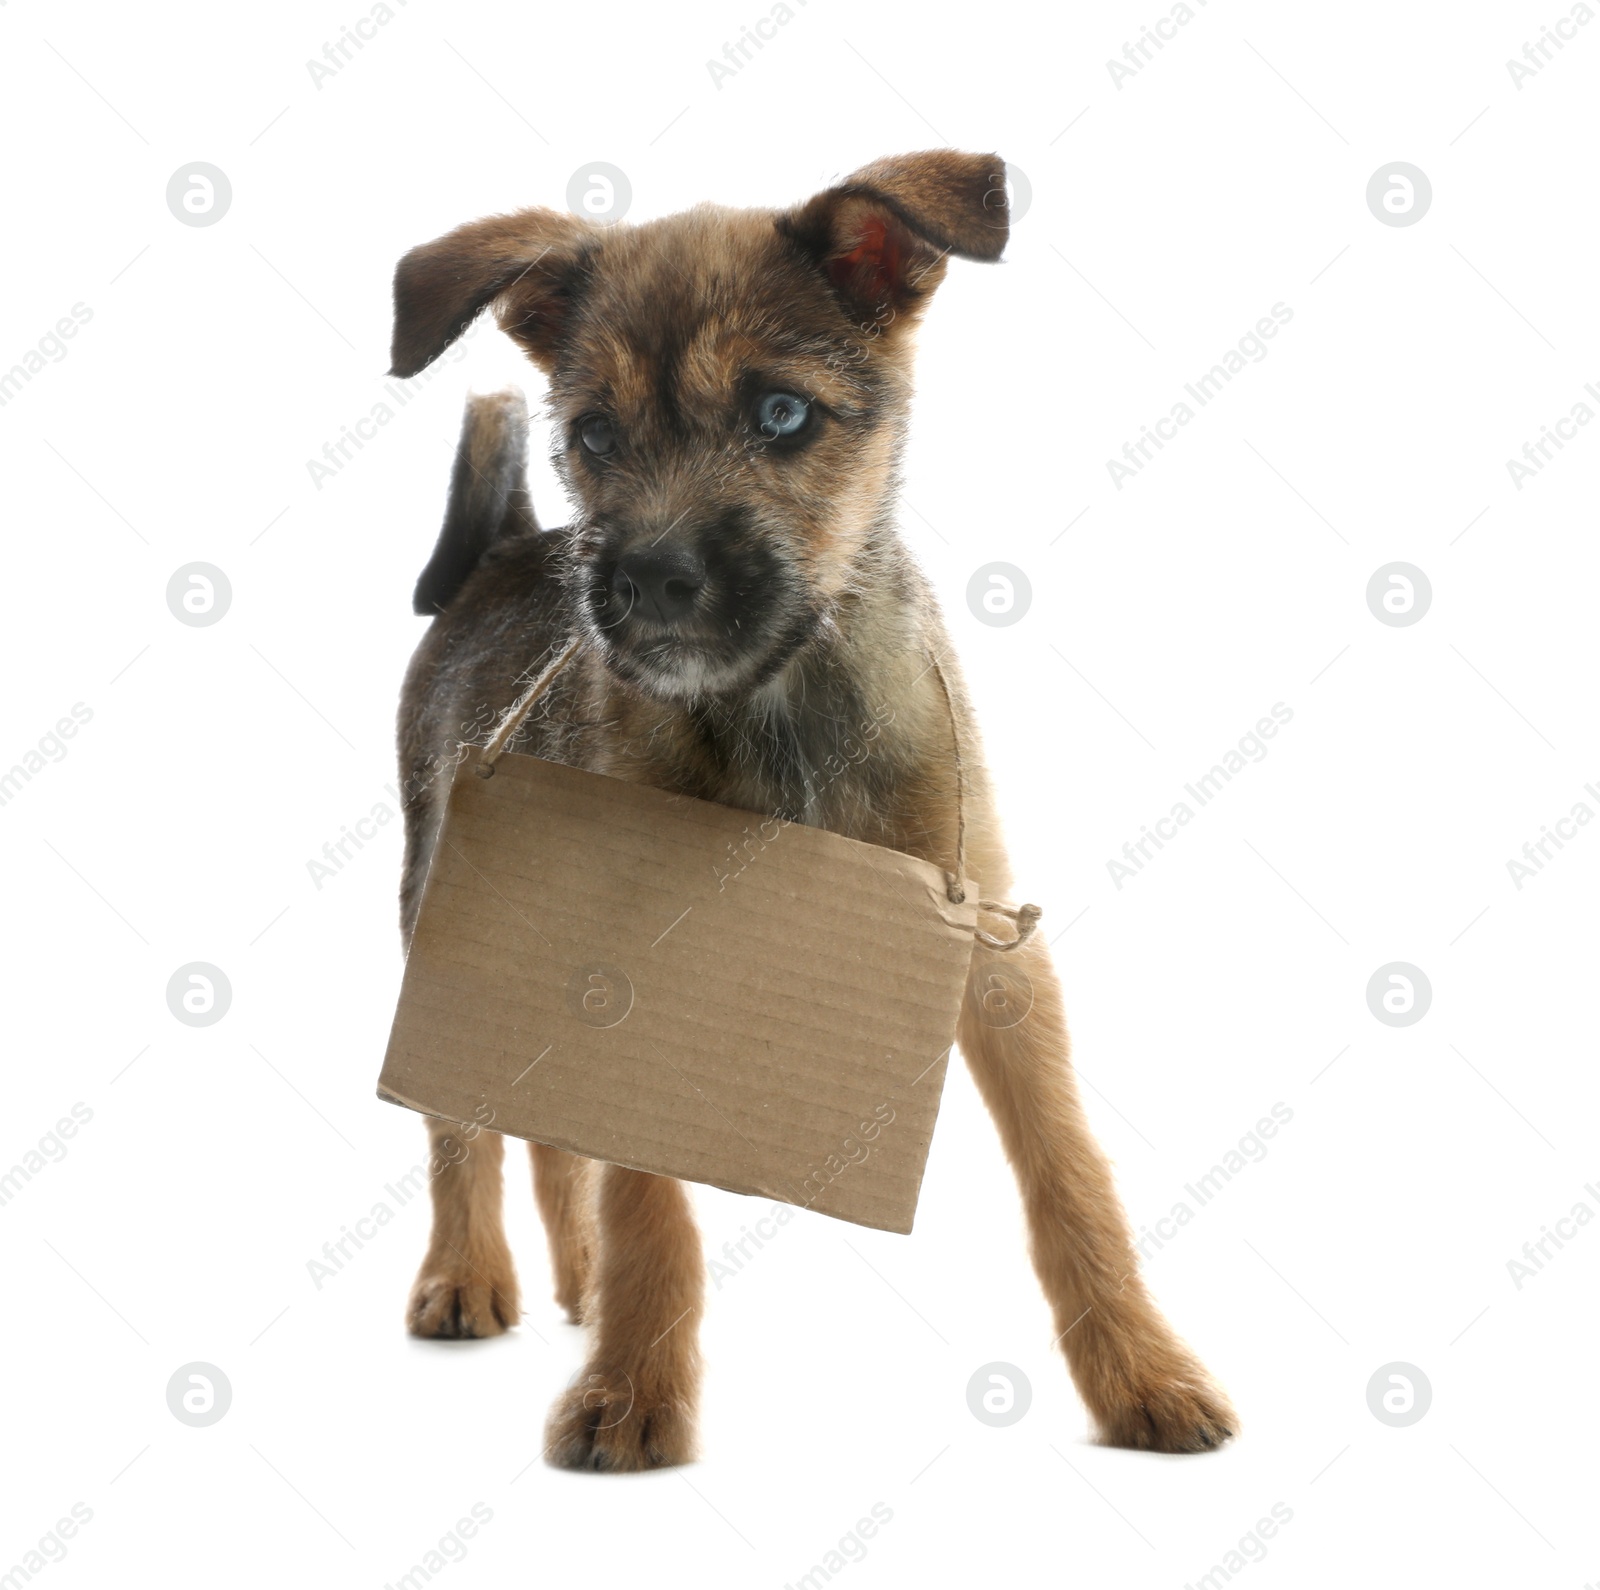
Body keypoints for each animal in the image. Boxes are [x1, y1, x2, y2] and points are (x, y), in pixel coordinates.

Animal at [387, 148, 1235, 1465]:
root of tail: (504, 552)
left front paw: (1142, 1373)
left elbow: (1068, 1171)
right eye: (593, 434)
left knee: (547, 1143)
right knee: (462, 1130)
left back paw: (576, 1290)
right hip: (441, 911)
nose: (647, 579)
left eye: (780, 415)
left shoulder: (988, 945)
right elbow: (647, 1196)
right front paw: (633, 1394)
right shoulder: (630, 965)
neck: (781, 702)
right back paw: (467, 1276)